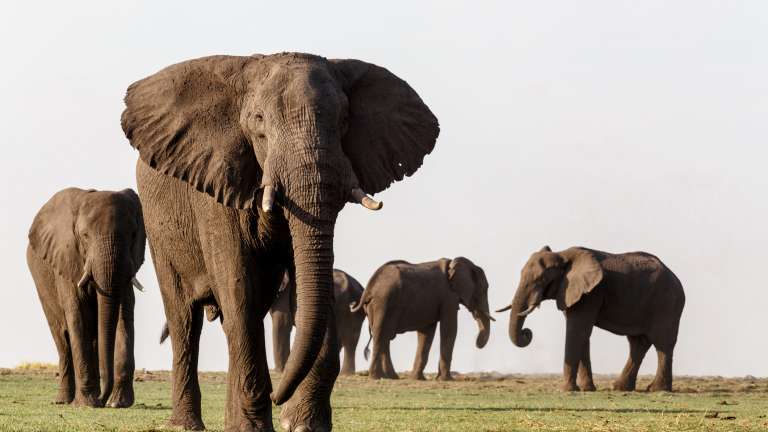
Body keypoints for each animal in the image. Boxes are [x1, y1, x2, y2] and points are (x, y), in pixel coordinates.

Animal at [26, 187, 146, 408]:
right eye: (85, 236)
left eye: (133, 235)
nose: (102, 401)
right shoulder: (66, 260)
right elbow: (79, 315)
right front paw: (87, 404)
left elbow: (123, 315)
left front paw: (118, 403)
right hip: (42, 285)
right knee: (62, 337)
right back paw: (64, 401)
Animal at [121, 52, 438, 431]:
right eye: (259, 121)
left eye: (344, 121)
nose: (278, 396)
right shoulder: (217, 188)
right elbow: (238, 287)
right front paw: (255, 427)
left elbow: (306, 287)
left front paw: (302, 425)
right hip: (158, 228)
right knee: (185, 317)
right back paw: (186, 425)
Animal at [351, 257, 493, 381]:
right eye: (483, 289)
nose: (477, 342)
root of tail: (369, 288)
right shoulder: (448, 297)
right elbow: (450, 329)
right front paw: (446, 380)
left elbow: (426, 333)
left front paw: (418, 379)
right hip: (383, 302)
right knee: (381, 334)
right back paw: (376, 377)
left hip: (375, 306)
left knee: (385, 337)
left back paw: (390, 377)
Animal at [497, 246, 685, 392]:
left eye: (541, 279)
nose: (526, 332)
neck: (563, 255)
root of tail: (676, 278)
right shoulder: (573, 293)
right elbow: (582, 334)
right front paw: (587, 389)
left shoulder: (591, 293)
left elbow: (577, 331)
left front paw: (567, 390)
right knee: (637, 343)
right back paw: (621, 388)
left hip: (666, 303)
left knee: (662, 343)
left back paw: (657, 390)